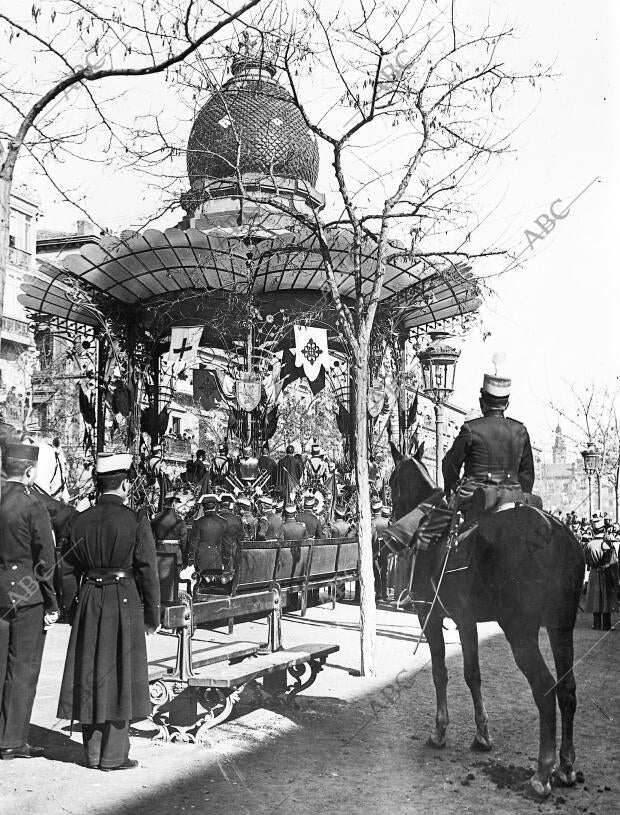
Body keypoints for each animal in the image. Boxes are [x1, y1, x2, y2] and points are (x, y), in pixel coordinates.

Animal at [390, 444, 584, 800]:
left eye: (392, 480)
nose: (393, 519)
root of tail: (555, 532)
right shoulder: (467, 622)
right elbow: (473, 675)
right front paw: (482, 735)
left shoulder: (431, 615)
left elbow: (441, 672)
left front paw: (440, 731)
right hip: (561, 627)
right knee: (567, 688)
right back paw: (565, 765)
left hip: (521, 633)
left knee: (545, 688)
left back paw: (543, 773)